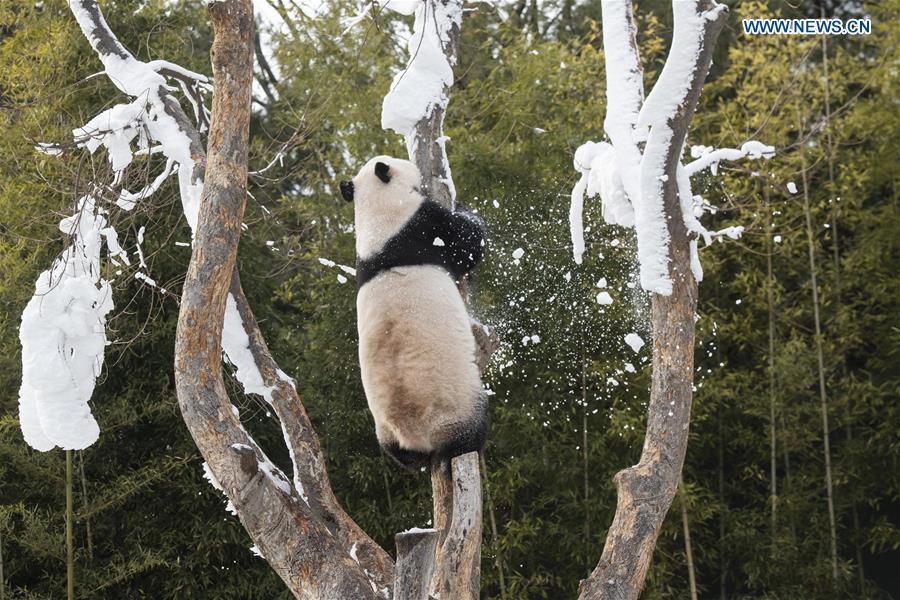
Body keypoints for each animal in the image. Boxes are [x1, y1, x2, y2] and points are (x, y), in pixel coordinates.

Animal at [342, 154, 488, 468]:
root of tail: (416, 436)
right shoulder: (420, 226)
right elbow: (467, 244)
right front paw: (462, 207)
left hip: (385, 432)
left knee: (401, 457)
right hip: (456, 403)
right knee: (470, 432)